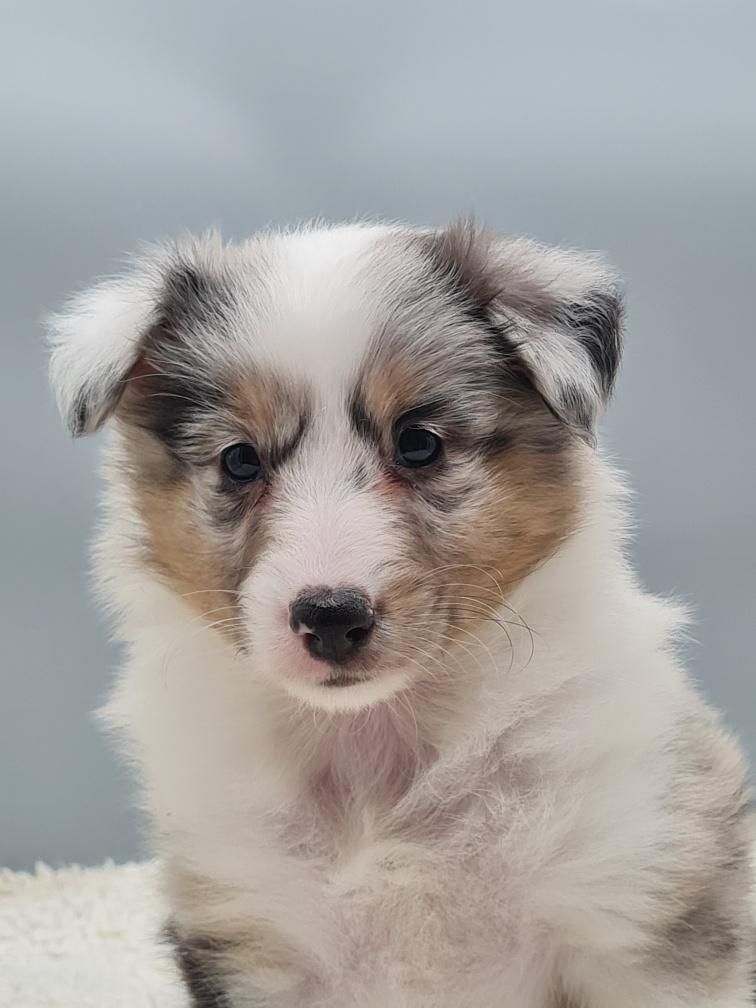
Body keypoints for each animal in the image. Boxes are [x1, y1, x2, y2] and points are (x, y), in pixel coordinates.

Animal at [50, 222, 753, 1008]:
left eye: (418, 443)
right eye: (238, 460)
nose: (329, 616)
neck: (374, 745)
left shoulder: (634, 914)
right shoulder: (252, 935)